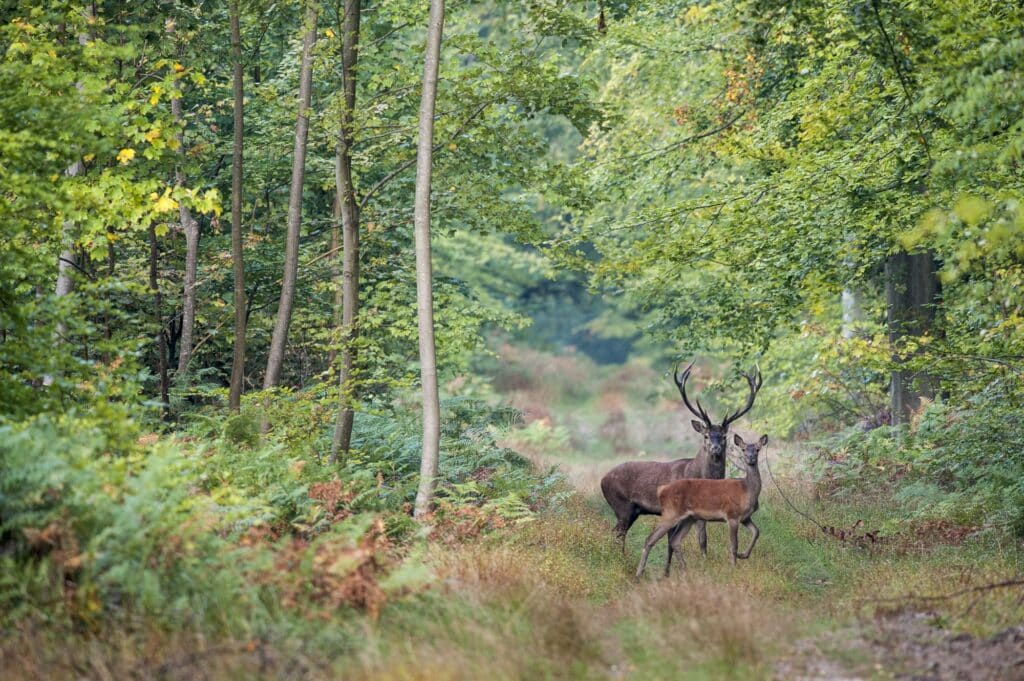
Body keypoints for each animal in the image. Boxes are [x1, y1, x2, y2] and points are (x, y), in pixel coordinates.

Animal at [600, 363, 762, 556]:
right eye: (706, 435)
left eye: (723, 436)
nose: (715, 448)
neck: (699, 473)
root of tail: (602, 480)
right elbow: (699, 539)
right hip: (622, 506)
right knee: (617, 534)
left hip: (632, 511)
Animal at [635, 433, 767, 578]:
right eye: (743, 449)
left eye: (757, 449)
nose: (750, 458)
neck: (747, 490)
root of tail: (662, 490)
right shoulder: (732, 514)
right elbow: (734, 545)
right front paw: (734, 568)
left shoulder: (745, 517)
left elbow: (756, 532)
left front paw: (743, 555)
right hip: (671, 513)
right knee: (650, 538)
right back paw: (639, 573)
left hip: (689, 518)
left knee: (674, 540)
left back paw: (685, 570)